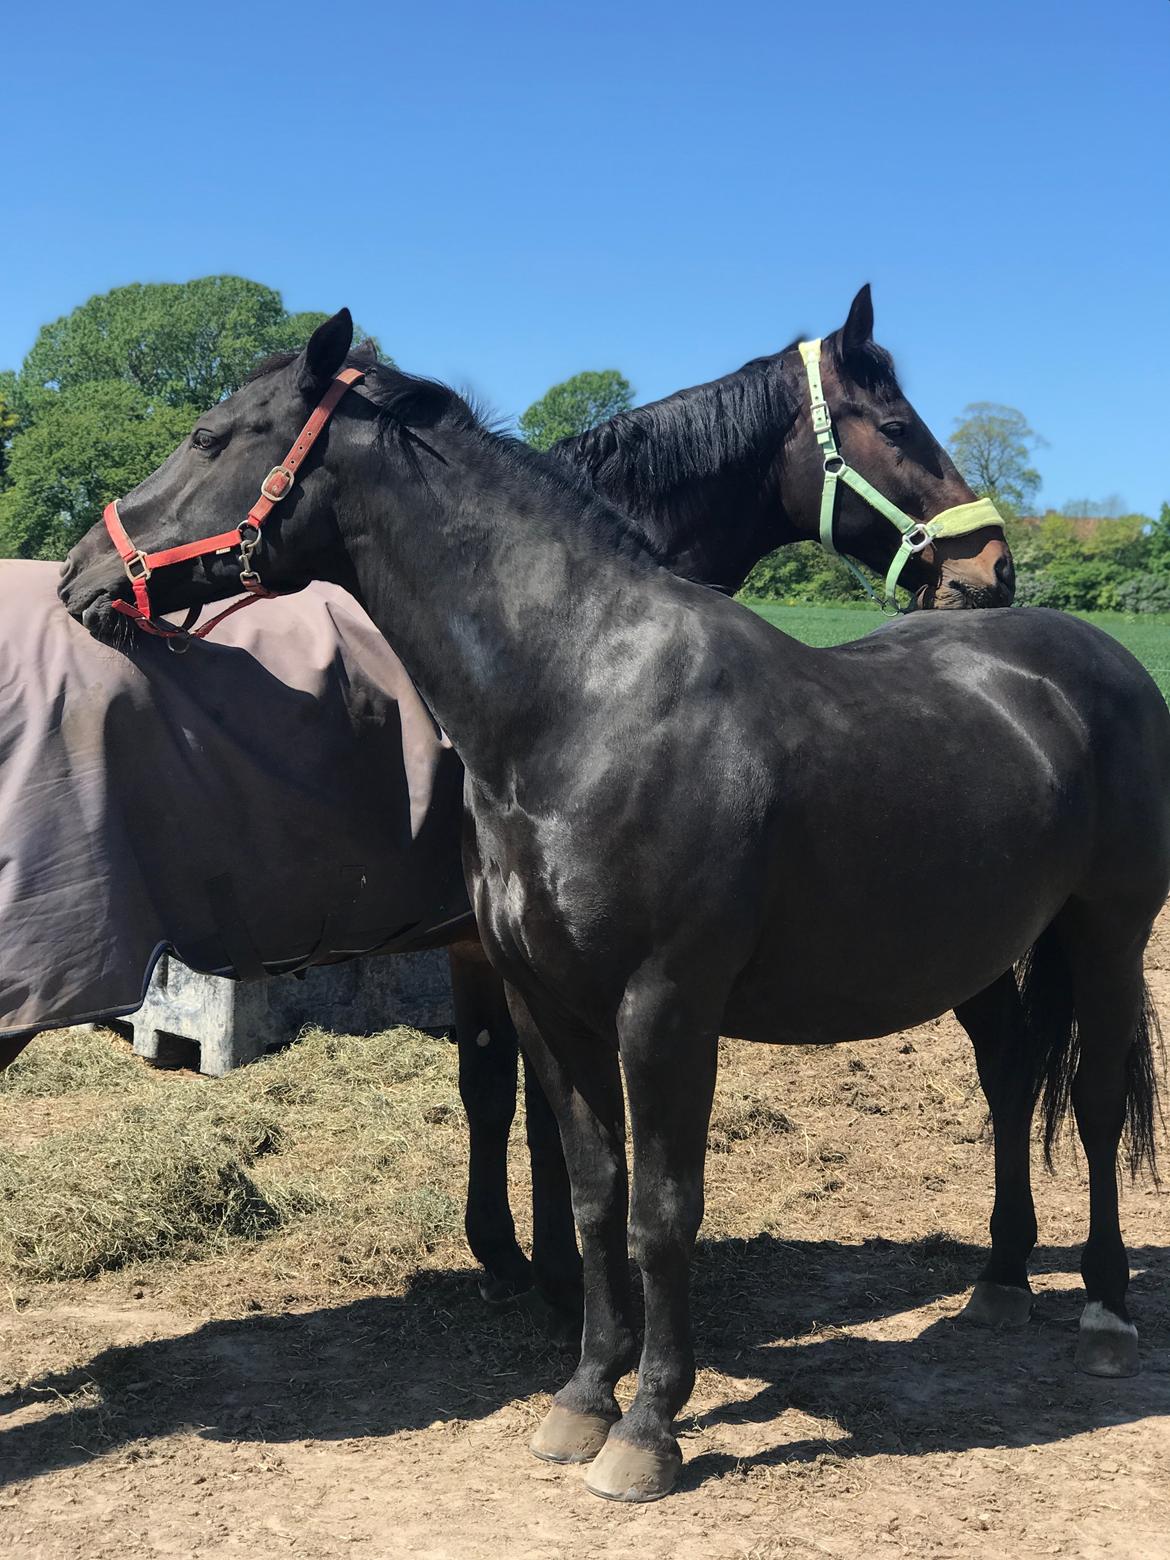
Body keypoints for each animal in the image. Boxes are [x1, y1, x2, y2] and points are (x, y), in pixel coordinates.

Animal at [63, 307, 1170, 1497]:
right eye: (896, 425)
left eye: (212, 437)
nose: (82, 575)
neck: (585, 699)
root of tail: (1089, 659)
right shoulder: (546, 1001)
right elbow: (593, 1193)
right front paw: (584, 1394)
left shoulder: (666, 1008)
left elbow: (661, 1211)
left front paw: (648, 1428)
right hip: (975, 947)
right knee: (1011, 1075)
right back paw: (1001, 1279)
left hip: (1107, 935)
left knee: (1093, 1102)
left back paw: (1104, 1314)